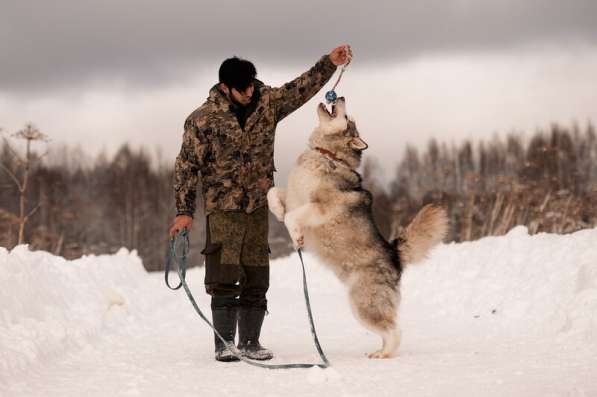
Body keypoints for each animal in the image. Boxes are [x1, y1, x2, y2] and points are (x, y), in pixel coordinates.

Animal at [266, 96, 448, 358]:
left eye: (346, 116)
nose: (339, 97)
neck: (326, 155)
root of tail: (394, 254)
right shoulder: (293, 197)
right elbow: (273, 194)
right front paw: (278, 211)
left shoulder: (323, 206)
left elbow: (293, 216)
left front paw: (296, 235)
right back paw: (380, 350)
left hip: (362, 305)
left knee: (395, 331)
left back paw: (383, 354)